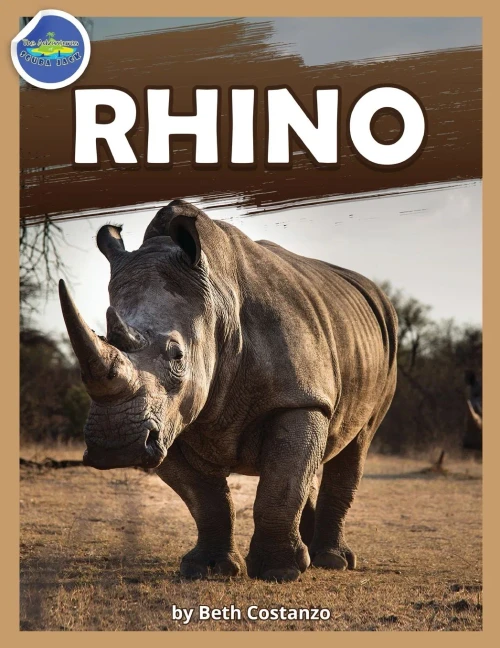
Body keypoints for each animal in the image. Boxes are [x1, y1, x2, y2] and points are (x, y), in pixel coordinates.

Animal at [59, 199, 398, 582]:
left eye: (177, 356)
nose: (115, 446)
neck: (218, 305)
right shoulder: (168, 420)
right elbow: (207, 499)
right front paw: (208, 568)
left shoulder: (299, 398)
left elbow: (281, 486)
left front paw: (278, 571)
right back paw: (312, 552)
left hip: (385, 344)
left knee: (358, 441)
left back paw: (331, 560)